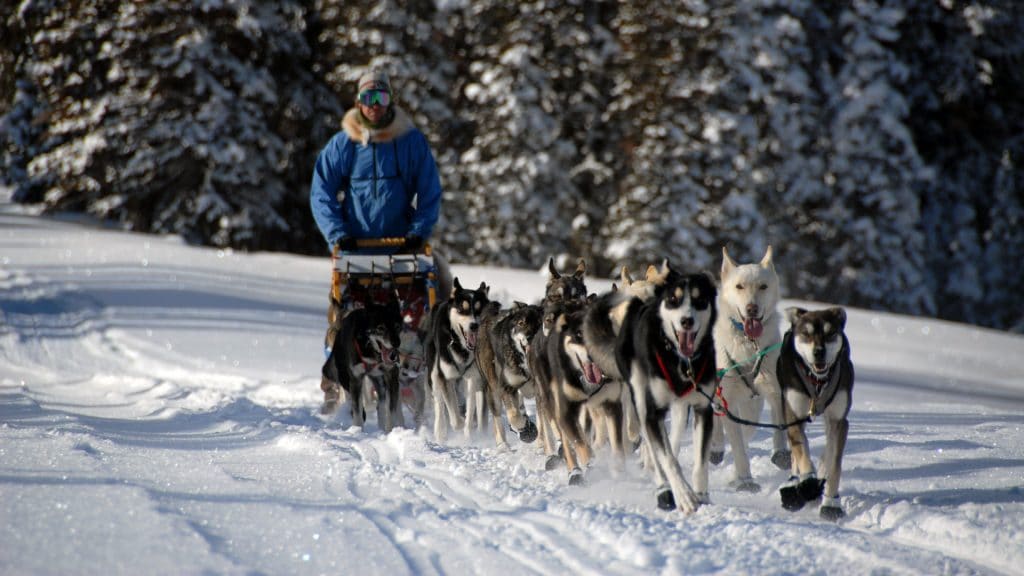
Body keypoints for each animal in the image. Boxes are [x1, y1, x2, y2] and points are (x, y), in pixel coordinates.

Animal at [319, 297, 403, 428]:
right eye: (380, 328)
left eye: (397, 326)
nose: (396, 343)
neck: (372, 353)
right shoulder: (355, 379)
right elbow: (357, 411)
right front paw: (358, 429)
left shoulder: (392, 377)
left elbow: (391, 410)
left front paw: (391, 429)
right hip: (345, 377)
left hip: (379, 380)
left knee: (381, 402)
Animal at [421, 276, 489, 440]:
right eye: (462, 309)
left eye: (478, 309)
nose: (474, 325)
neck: (461, 347)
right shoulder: (445, 377)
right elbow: (454, 415)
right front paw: (459, 423)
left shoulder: (473, 378)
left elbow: (470, 408)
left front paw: (469, 433)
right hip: (434, 375)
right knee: (439, 403)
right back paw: (440, 432)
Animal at [614, 268, 720, 510]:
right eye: (673, 299)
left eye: (700, 300)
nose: (686, 321)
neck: (680, 360)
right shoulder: (653, 412)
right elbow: (668, 459)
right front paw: (684, 496)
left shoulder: (703, 408)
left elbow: (700, 462)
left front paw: (701, 494)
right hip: (639, 397)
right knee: (654, 450)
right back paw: (663, 489)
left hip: (680, 407)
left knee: (674, 438)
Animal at [712, 243, 790, 491]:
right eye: (739, 286)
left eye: (763, 286)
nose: (752, 308)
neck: (748, 344)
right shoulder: (727, 395)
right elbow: (737, 445)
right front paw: (745, 479)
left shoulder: (774, 390)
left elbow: (777, 425)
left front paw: (781, 453)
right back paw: (716, 447)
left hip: (751, 402)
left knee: (748, 425)